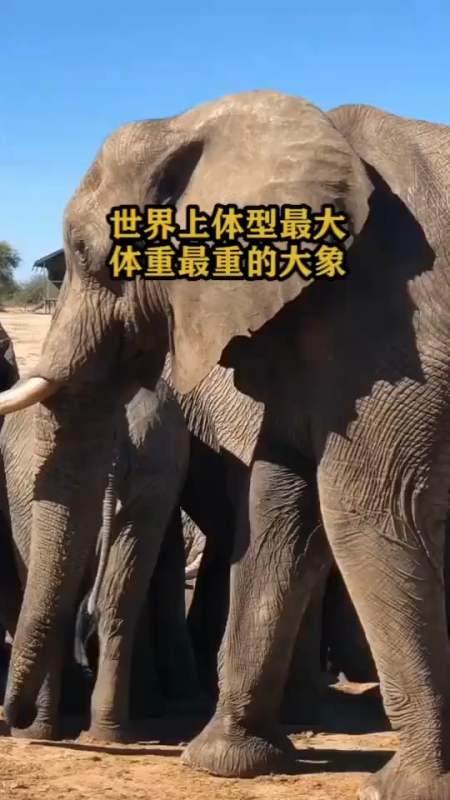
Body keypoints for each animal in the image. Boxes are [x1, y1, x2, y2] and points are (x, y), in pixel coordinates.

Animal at [2, 90, 450, 800]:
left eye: (84, 250)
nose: (11, 723)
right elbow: (279, 508)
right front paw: (225, 760)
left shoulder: (393, 321)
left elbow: (364, 509)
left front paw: (403, 788)